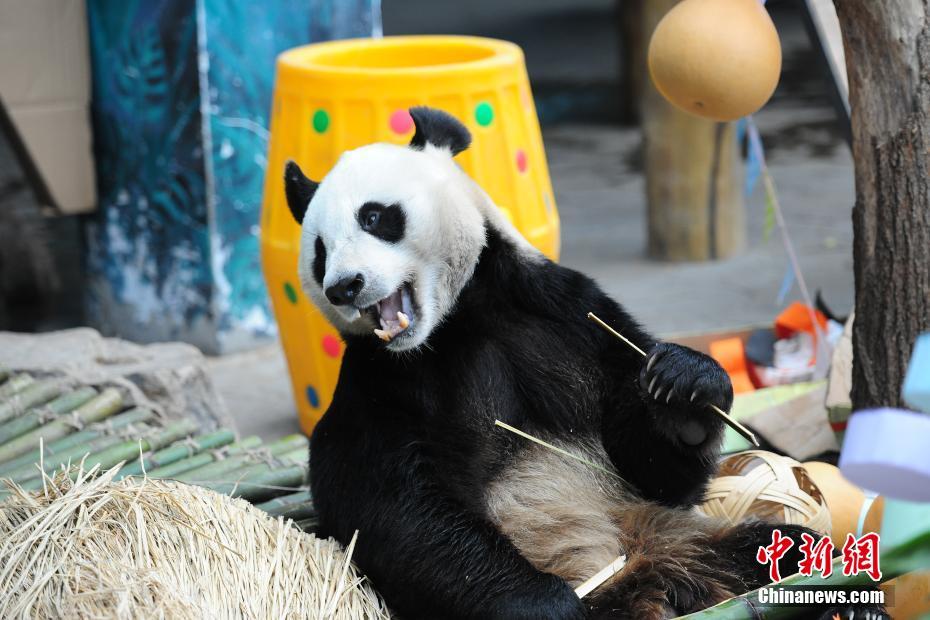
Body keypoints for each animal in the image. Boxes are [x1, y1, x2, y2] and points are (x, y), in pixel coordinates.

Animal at [284, 108, 884, 620]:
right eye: (319, 251)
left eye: (375, 216)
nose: (343, 286)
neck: (454, 322)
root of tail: (647, 580)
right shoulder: (381, 384)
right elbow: (392, 506)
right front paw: (543, 606)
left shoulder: (564, 311)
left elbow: (656, 469)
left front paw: (685, 388)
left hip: (672, 531)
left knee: (786, 551)